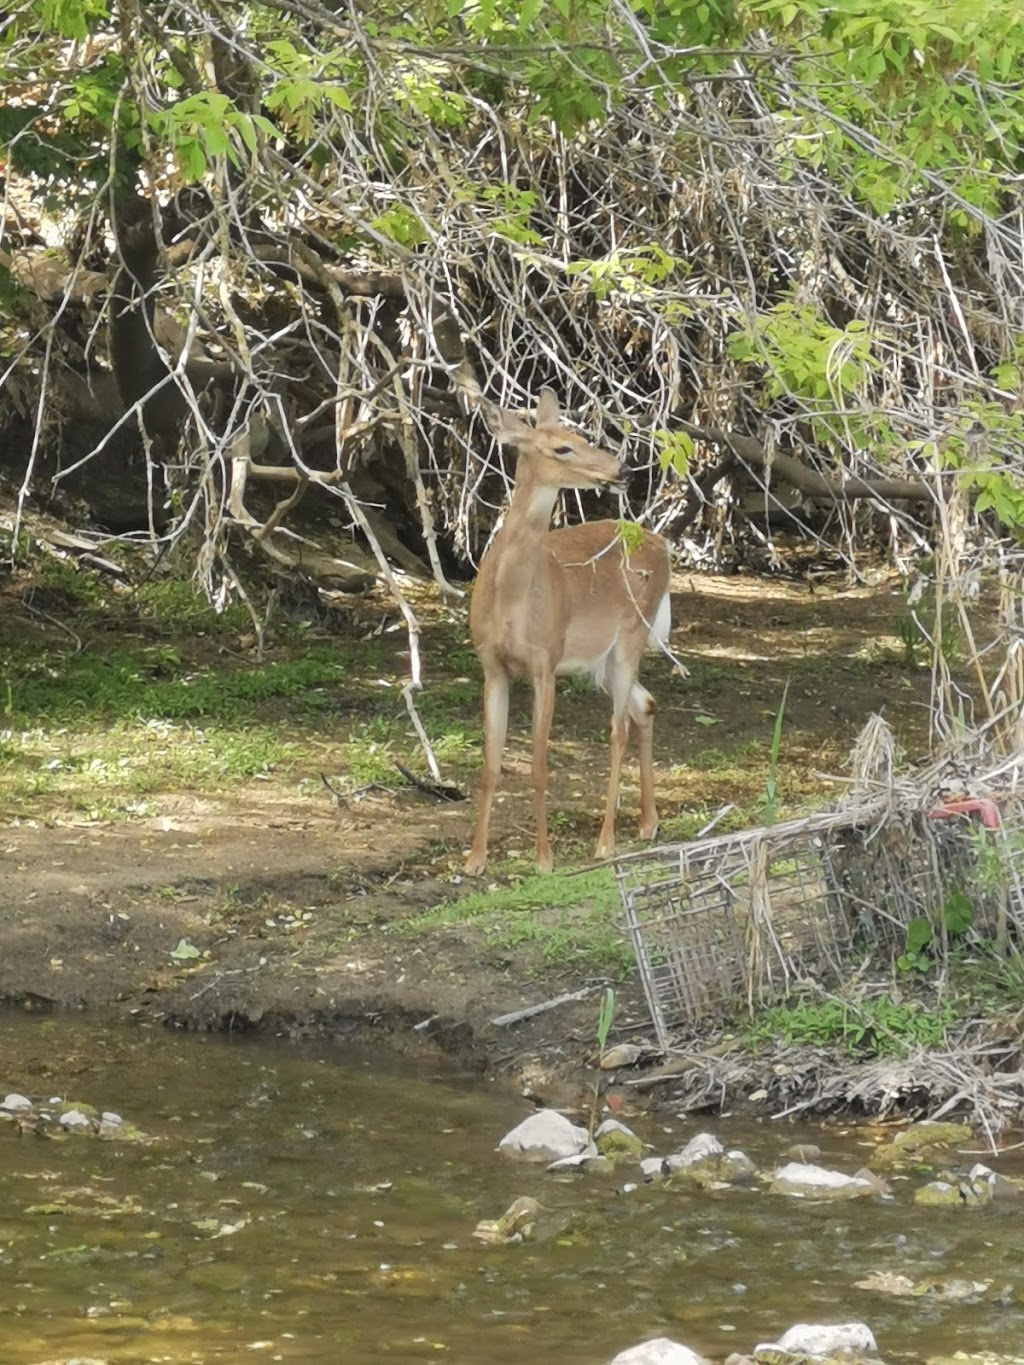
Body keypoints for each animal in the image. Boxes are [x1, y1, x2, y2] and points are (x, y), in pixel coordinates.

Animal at [464, 384, 674, 873]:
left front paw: (543, 859)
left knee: (618, 729)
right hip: (601, 661)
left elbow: (540, 765)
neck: (511, 600)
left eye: (582, 436)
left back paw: (606, 842)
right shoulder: (492, 665)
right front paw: (475, 859)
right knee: (645, 705)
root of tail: (664, 545)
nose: (622, 468)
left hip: (632, 635)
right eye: (561, 447)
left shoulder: (546, 662)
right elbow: (490, 763)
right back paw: (648, 823)